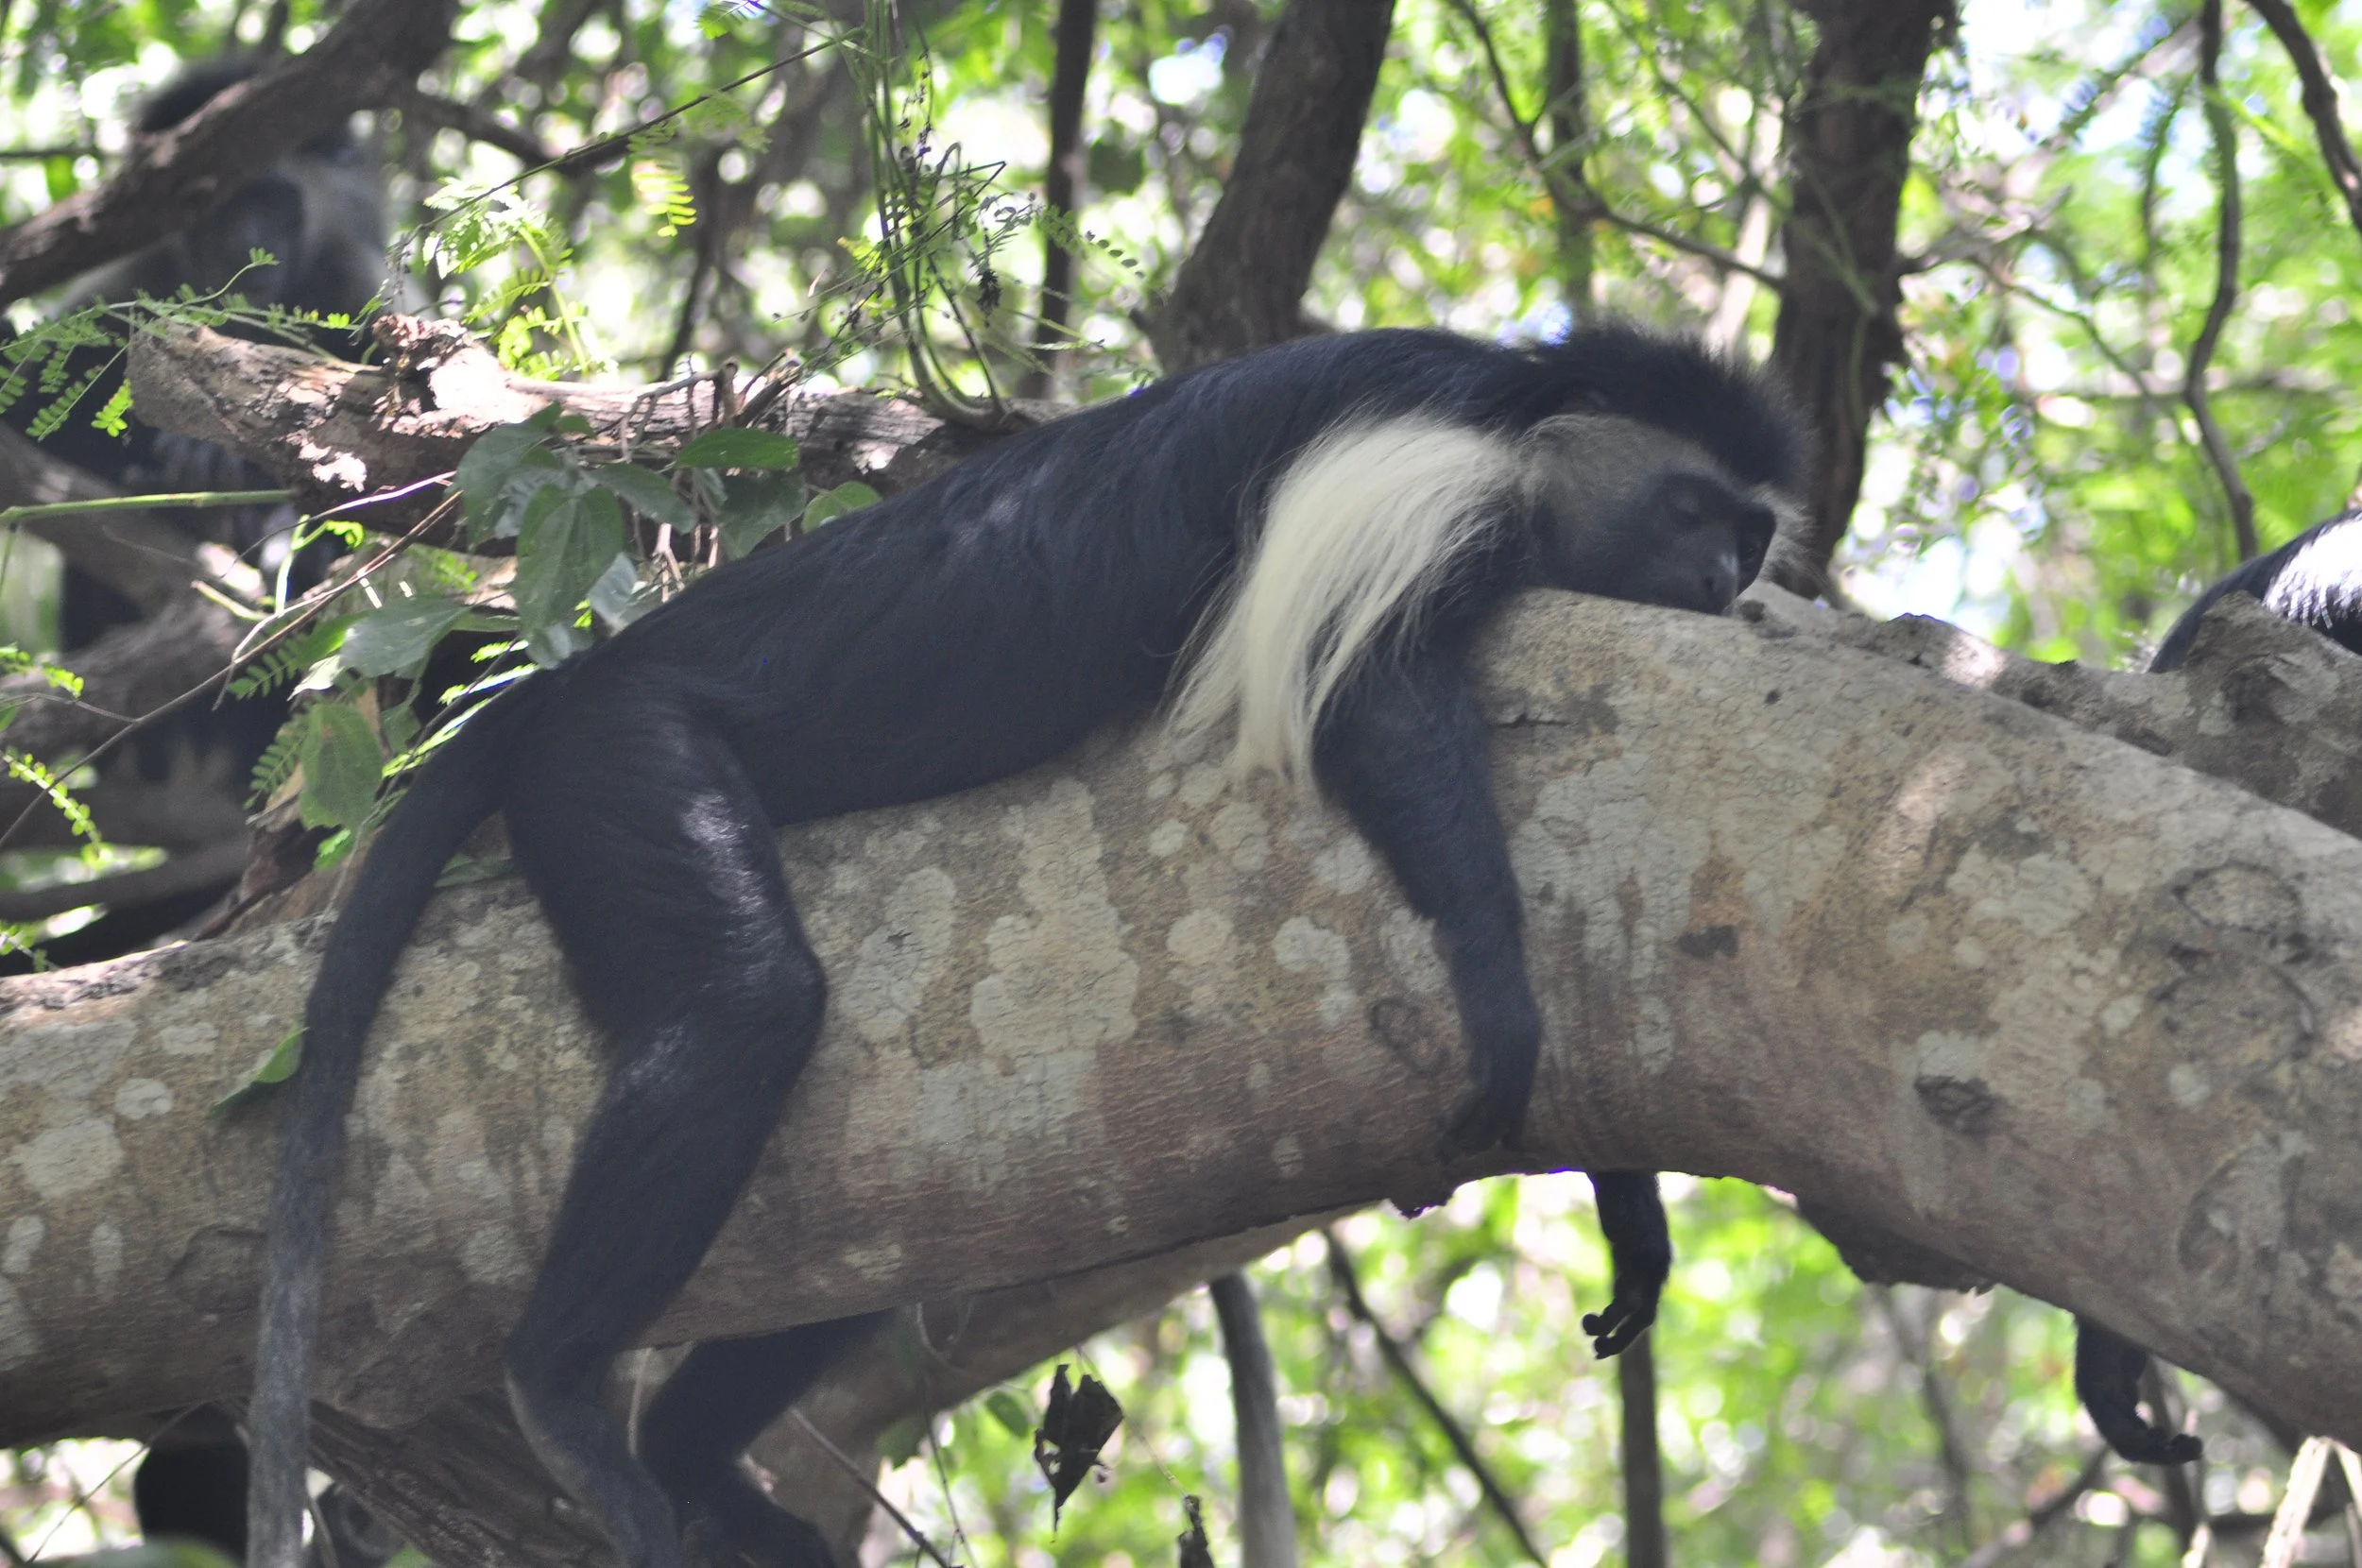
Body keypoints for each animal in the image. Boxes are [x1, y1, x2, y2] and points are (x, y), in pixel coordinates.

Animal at [247, 323, 1805, 1568]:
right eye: (1691, 506)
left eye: (1753, 535)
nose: (1722, 577)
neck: (1520, 418)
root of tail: (565, 692)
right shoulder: (1422, 481)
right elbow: (1369, 693)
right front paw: (1503, 997)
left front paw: (1628, 1203)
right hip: (623, 769)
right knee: (746, 1008)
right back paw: (564, 1397)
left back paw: (704, 1477)